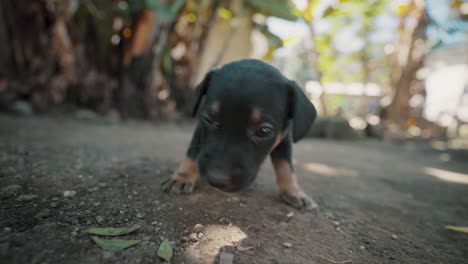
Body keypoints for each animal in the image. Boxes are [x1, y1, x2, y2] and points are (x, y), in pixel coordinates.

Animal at [163, 58, 320, 209]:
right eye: (208, 118)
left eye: (264, 131)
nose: (216, 180)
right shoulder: (201, 127)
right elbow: (193, 152)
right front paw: (182, 176)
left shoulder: (285, 139)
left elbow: (286, 165)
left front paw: (294, 191)